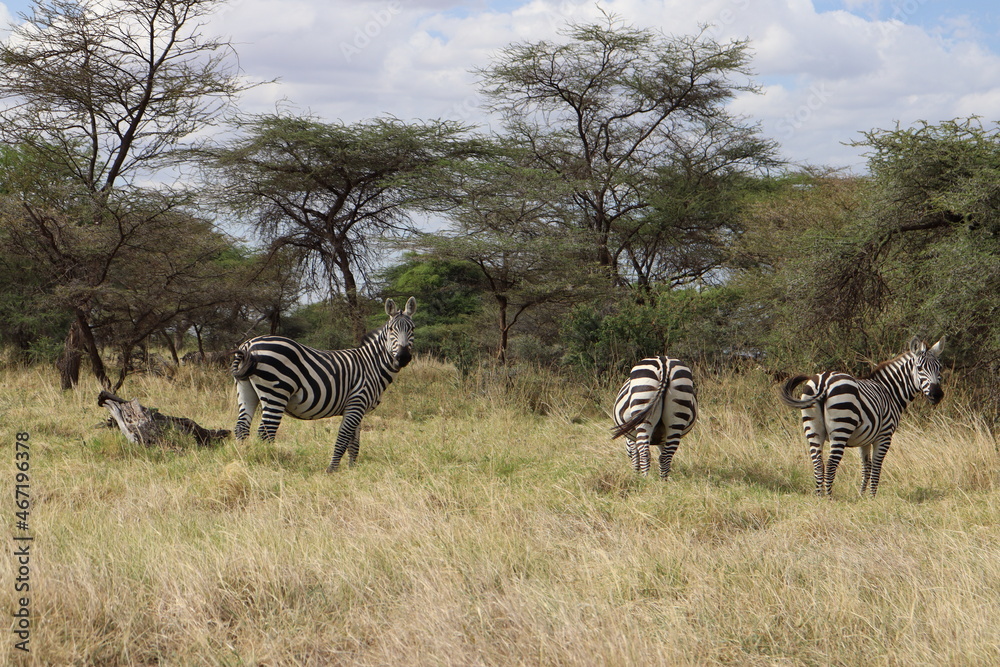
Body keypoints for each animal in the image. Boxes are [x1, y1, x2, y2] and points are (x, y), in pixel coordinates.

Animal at [232, 297, 417, 472]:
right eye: (391, 329)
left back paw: (244, 460)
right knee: (266, 432)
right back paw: (270, 465)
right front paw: (332, 469)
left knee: (242, 427)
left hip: (246, 389)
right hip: (276, 393)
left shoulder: (357, 408)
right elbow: (343, 438)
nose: (403, 357)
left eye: (412, 329)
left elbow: (354, 443)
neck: (372, 365)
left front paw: (352, 469)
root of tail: (249, 345)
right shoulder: (357, 402)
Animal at [779, 337, 944, 498]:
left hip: (813, 429)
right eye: (919, 368)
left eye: (939, 368)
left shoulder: (864, 440)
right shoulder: (884, 436)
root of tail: (823, 382)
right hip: (841, 427)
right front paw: (872, 498)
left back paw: (819, 498)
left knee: (818, 464)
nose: (937, 395)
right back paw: (829, 499)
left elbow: (866, 467)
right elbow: (876, 467)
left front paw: (861, 496)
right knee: (831, 464)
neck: (890, 392)